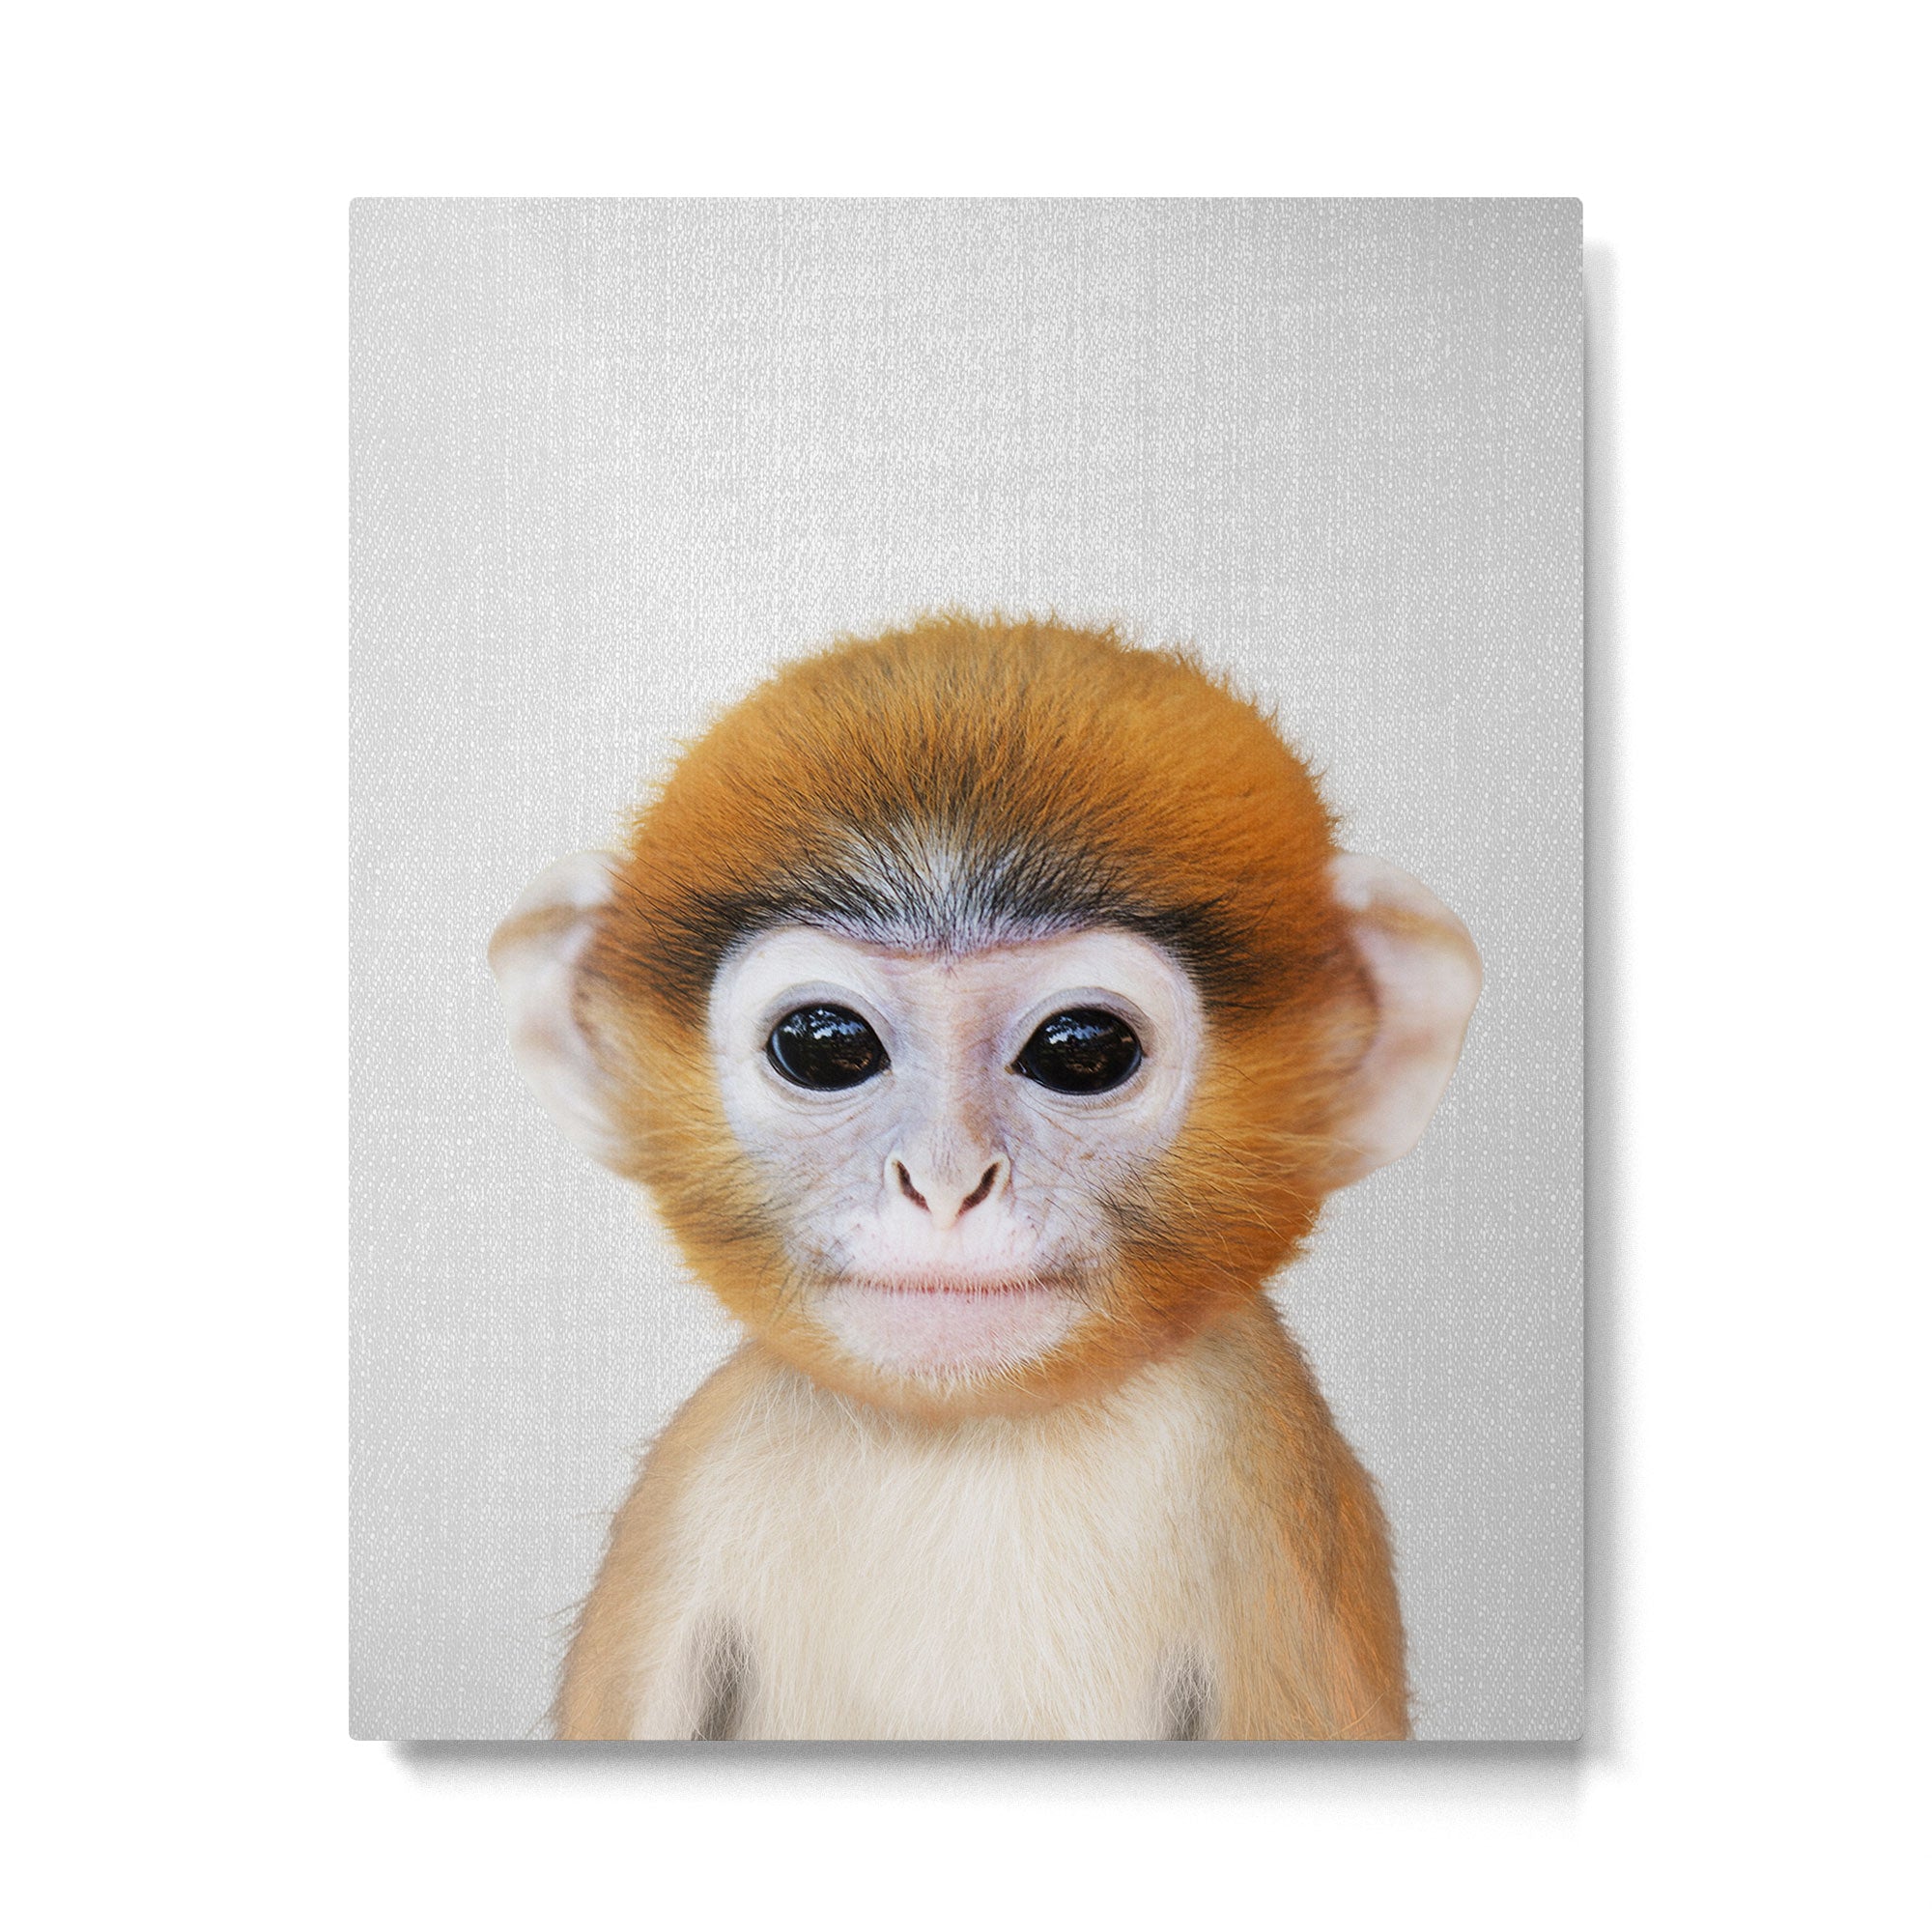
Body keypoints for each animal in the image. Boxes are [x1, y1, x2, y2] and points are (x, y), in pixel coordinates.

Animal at [489, 613, 1481, 1741]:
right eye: (824, 1045)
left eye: (1082, 1050)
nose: (945, 1182)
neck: (969, 1440)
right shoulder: (686, 1499)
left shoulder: (1268, 1496)